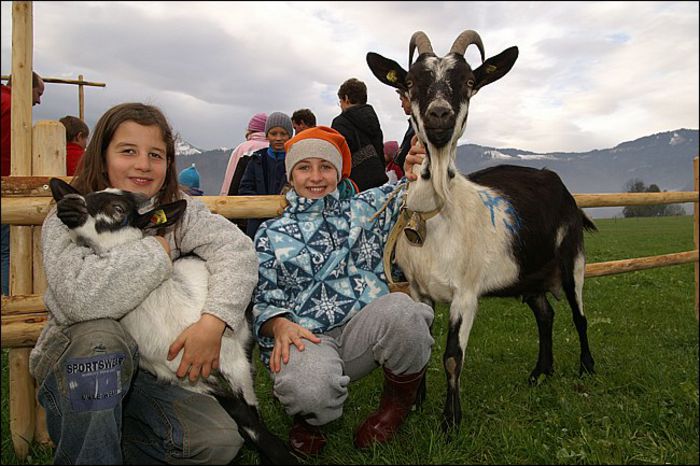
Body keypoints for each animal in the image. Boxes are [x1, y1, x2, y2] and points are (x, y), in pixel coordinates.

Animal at [47, 178, 300, 466]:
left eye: (118, 208)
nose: (68, 205)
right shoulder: (188, 379)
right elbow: (241, 414)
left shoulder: (232, 362)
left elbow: (252, 415)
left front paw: (282, 454)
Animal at [366, 31, 596, 434]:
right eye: (409, 82)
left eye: (470, 82)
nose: (439, 114)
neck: (438, 213)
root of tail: (559, 185)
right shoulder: (418, 291)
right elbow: (424, 348)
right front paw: (416, 404)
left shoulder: (466, 293)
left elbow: (452, 357)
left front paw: (450, 423)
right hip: (528, 275)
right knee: (545, 315)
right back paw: (540, 372)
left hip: (572, 260)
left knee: (578, 315)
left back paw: (586, 368)